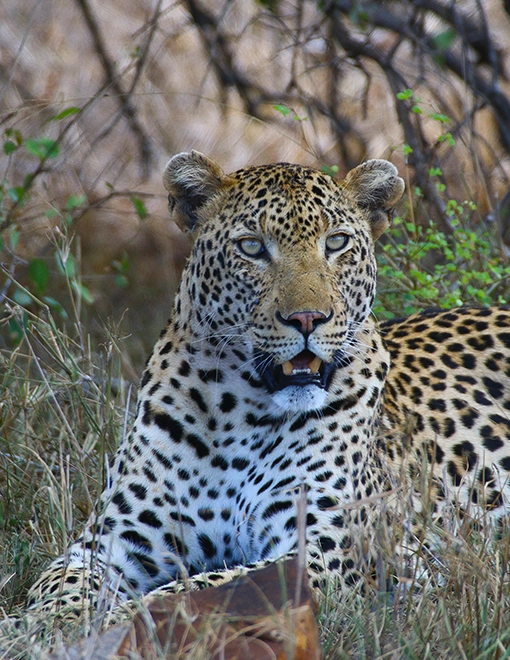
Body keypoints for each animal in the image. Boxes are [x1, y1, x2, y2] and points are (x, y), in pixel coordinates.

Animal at [8, 152, 510, 637]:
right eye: (252, 247)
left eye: (336, 243)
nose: (308, 318)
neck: (237, 415)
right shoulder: (111, 541)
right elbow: (58, 585)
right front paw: (35, 626)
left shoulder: (321, 554)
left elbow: (196, 590)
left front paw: (116, 621)